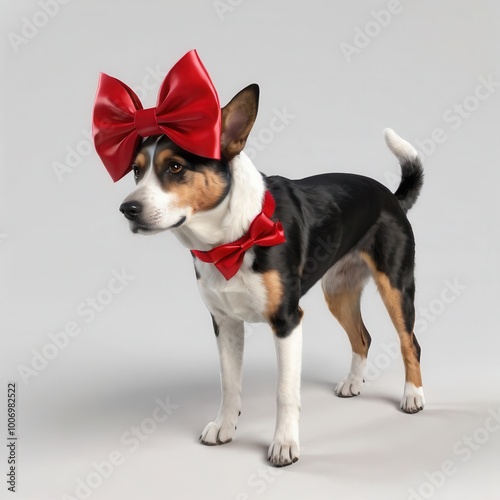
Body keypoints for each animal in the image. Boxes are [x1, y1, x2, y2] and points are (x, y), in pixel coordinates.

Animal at [114, 82, 426, 468]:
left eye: (174, 167)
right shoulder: (225, 322)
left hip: (395, 286)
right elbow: (229, 384)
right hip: (338, 291)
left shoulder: (287, 320)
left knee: (409, 341)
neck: (231, 240)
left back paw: (413, 396)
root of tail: (391, 197)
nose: (128, 208)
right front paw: (224, 426)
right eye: (136, 171)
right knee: (362, 337)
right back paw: (353, 383)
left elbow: (285, 393)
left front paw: (284, 445)